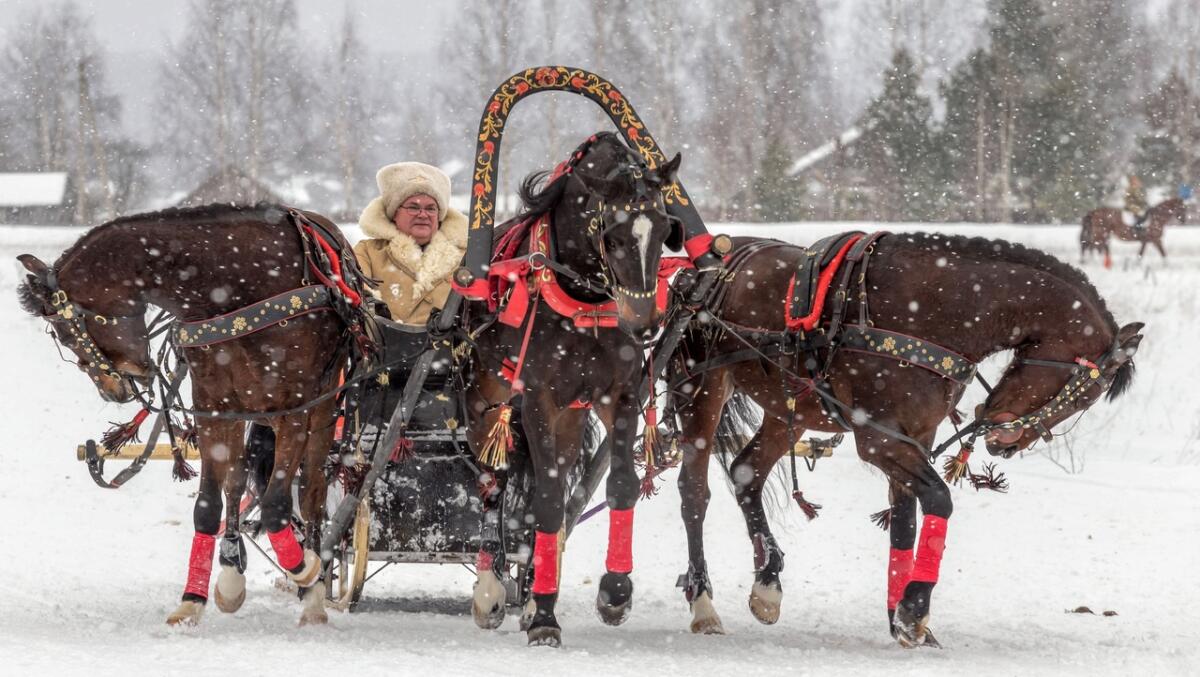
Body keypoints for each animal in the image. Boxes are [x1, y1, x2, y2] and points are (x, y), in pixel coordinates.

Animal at [16, 204, 364, 628]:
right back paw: (232, 571)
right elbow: (210, 504)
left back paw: (313, 590)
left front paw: (307, 572)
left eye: (66, 334)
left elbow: (278, 506)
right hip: (244, 411)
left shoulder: (293, 409)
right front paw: (193, 600)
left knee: (312, 490)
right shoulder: (213, 406)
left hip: (323, 409)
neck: (236, 285)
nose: (111, 389)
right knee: (237, 482)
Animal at [460, 132, 686, 643]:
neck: (582, 298)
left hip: (570, 416)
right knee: (492, 483)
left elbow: (619, 484)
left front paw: (614, 591)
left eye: (666, 229)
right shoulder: (537, 399)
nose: (645, 324)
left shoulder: (618, 395)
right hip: (487, 404)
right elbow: (545, 499)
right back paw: (492, 588)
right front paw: (544, 616)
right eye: (613, 236)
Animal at [667, 232, 1142, 643]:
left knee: (746, 472)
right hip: (702, 391)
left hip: (791, 409)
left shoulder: (916, 436)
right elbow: (938, 501)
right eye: (1085, 394)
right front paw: (914, 610)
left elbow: (904, 521)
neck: (934, 311)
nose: (1006, 442)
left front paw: (899, 613)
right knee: (694, 492)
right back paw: (703, 603)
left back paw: (767, 583)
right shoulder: (879, 440)